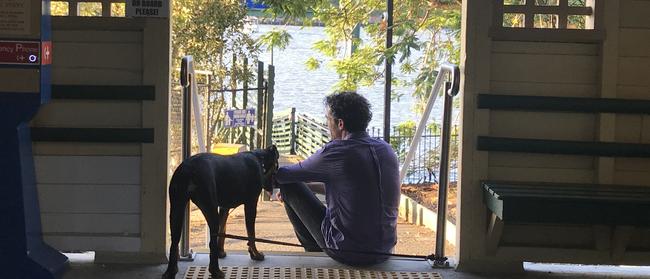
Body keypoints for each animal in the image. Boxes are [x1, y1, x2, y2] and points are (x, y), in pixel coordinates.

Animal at [162, 145, 278, 278]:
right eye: (277, 166)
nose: (274, 186)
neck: (260, 159)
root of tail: (188, 169)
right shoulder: (251, 205)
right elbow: (251, 234)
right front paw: (256, 254)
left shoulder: (224, 208)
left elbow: (222, 231)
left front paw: (221, 252)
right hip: (209, 208)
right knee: (211, 243)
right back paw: (215, 270)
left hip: (177, 208)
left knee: (174, 242)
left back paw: (171, 271)